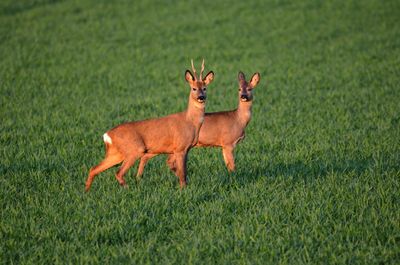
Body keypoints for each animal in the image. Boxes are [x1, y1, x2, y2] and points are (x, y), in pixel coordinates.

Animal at [84, 59, 214, 191]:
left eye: (204, 88)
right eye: (193, 88)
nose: (201, 97)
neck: (191, 122)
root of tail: (107, 135)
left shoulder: (185, 149)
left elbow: (182, 171)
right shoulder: (180, 147)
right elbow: (182, 174)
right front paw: (183, 189)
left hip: (115, 153)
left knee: (93, 169)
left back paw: (86, 192)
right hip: (135, 149)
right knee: (118, 172)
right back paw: (129, 189)